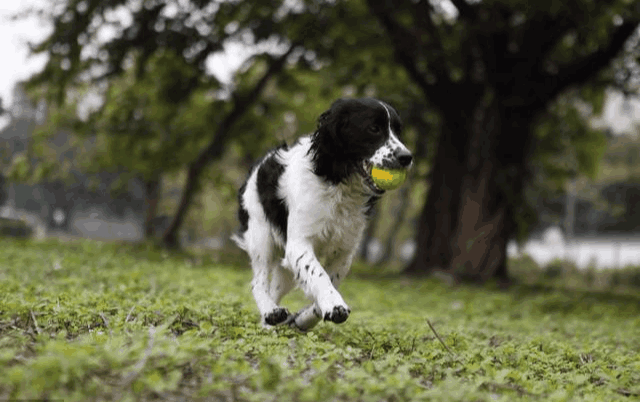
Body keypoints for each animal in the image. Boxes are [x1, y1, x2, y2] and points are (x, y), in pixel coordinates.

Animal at [232, 97, 412, 330]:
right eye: (373, 128)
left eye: (398, 131)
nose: (406, 157)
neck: (340, 187)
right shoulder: (298, 244)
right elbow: (318, 275)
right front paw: (334, 305)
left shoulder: (345, 251)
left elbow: (329, 279)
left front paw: (306, 318)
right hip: (261, 237)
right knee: (258, 282)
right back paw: (271, 312)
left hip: (285, 268)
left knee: (275, 288)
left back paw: (271, 323)